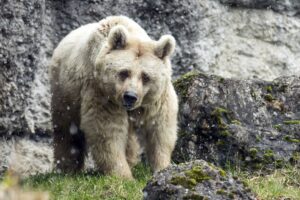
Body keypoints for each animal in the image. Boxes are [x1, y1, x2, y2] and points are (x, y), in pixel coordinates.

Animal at [49, 15, 178, 178]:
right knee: (66, 129)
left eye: (145, 76)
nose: (130, 96)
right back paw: (67, 169)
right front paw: (123, 175)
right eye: (124, 72)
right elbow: (107, 131)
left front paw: (163, 167)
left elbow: (160, 128)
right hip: (65, 92)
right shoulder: (102, 93)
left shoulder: (157, 99)